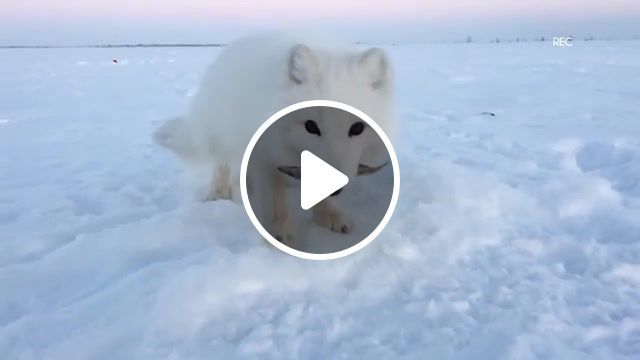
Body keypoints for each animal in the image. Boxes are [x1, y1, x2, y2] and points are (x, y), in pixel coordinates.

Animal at [155, 33, 396, 242]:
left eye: (357, 128)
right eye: (311, 126)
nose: (335, 187)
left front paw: (329, 216)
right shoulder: (263, 157)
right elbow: (275, 206)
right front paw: (279, 237)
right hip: (220, 135)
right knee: (220, 163)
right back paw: (219, 192)